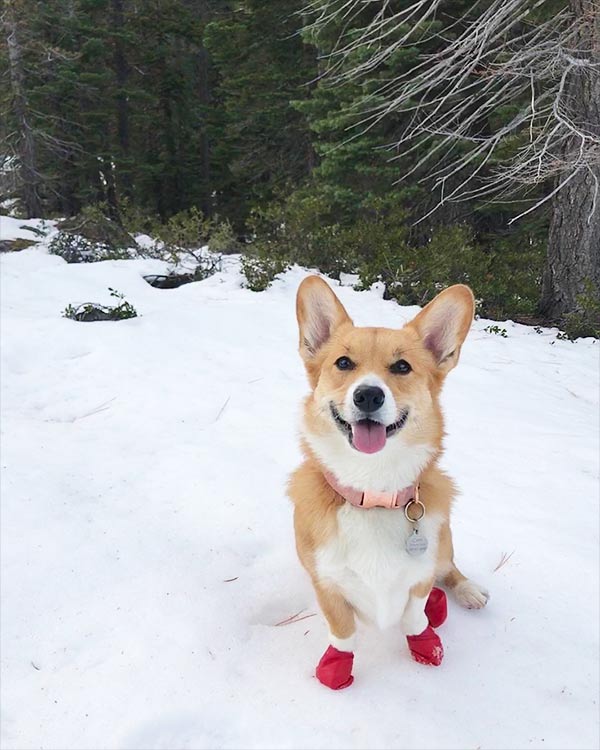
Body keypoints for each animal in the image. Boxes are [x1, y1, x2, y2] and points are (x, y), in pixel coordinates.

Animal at [288, 278, 490, 692]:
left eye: (402, 366)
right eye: (343, 363)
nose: (368, 394)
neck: (373, 490)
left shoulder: (420, 576)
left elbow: (415, 614)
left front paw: (425, 644)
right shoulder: (326, 583)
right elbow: (343, 630)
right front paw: (337, 667)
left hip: (444, 544)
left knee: (450, 568)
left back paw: (467, 590)